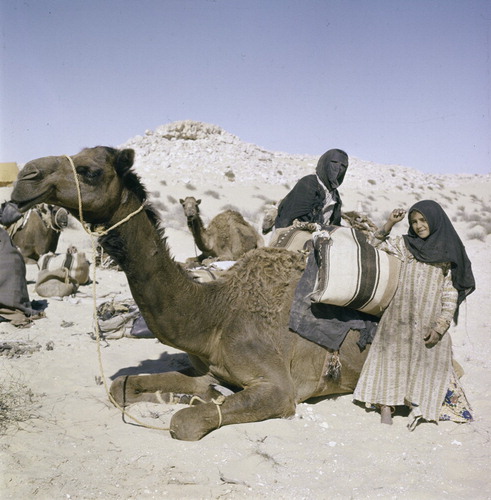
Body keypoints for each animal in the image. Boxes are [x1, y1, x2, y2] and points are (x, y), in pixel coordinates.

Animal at [10, 146, 368, 442]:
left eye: (89, 170)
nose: (24, 177)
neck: (216, 315)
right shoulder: (203, 370)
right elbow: (121, 385)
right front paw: (191, 395)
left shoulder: (280, 390)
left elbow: (183, 422)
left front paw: (196, 402)